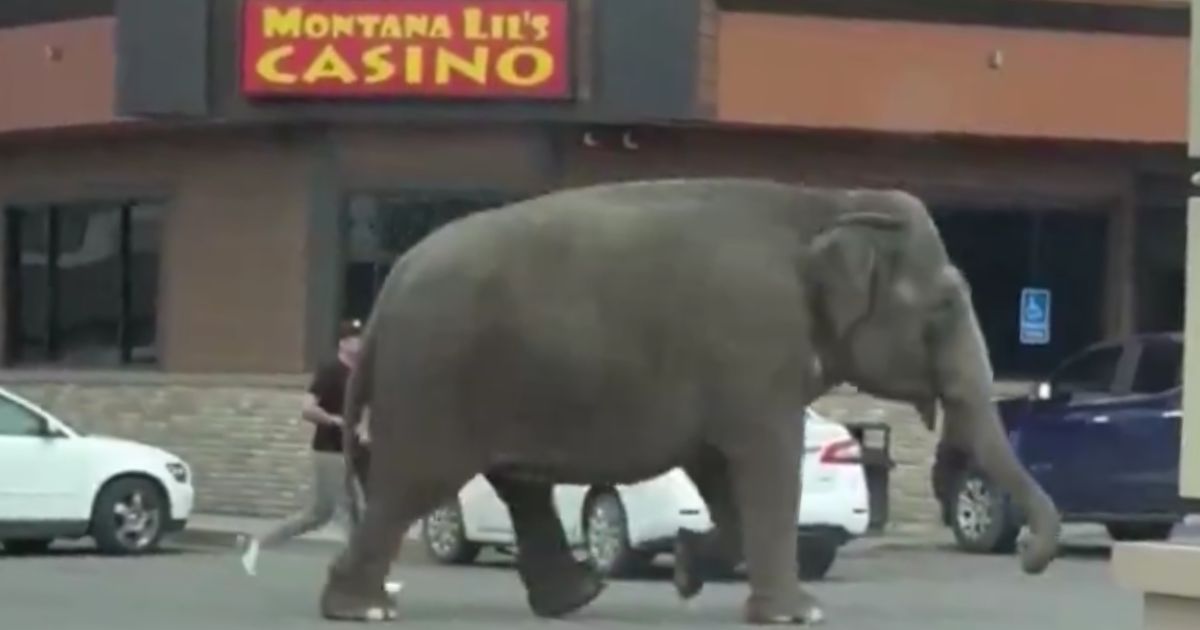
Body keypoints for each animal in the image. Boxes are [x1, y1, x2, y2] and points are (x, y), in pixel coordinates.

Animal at [319, 176, 1060, 624]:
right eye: (946, 305)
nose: (1027, 557)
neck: (825, 203)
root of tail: (387, 292)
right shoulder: (755, 344)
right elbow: (765, 462)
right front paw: (799, 613)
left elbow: (721, 472)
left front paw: (684, 567)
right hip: (436, 376)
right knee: (415, 483)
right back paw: (362, 609)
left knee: (515, 486)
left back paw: (575, 597)